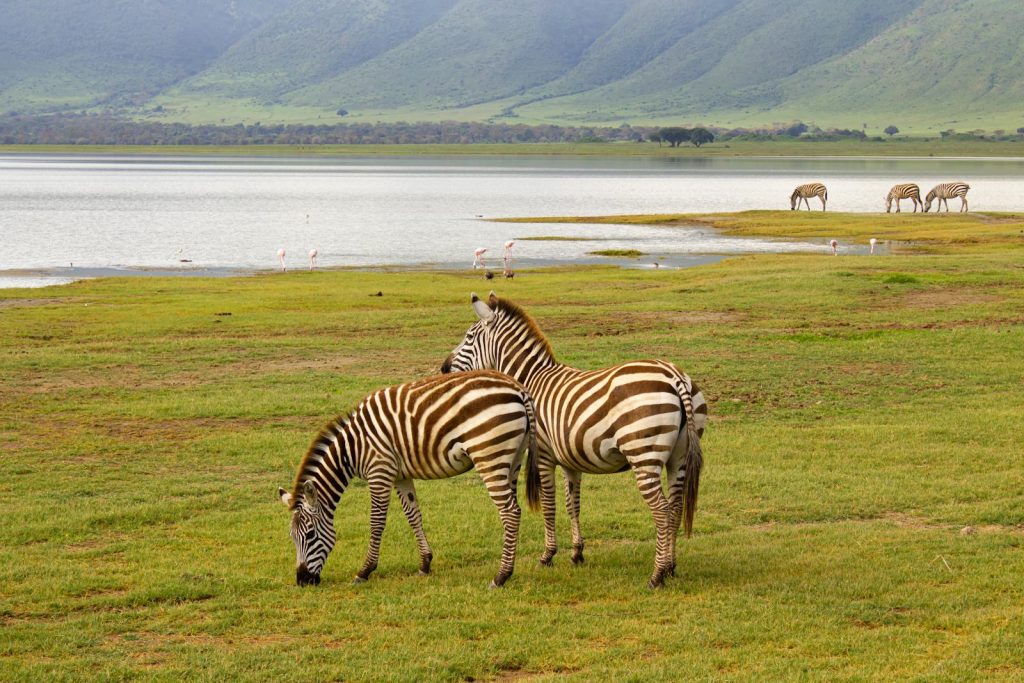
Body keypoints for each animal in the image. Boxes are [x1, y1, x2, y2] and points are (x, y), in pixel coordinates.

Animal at [277, 370, 539, 589]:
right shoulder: (400, 476)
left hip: (489, 456)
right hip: (513, 459)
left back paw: (501, 576)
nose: (303, 581)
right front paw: (425, 563)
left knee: (510, 512)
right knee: (514, 510)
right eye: (291, 537)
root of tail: (519, 389)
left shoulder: (379, 470)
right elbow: (413, 515)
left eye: (310, 535)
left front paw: (365, 571)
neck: (351, 448)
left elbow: (376, 522)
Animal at [441, 293, 707, 588]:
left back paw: (657, 575)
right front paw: (577, 553)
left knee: (661, 509)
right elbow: (573, 505)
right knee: (675, 507)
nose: (443, 368)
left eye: (468, 336)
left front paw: (547, 556)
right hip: (678, 457)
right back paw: (671, 567)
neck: (531, 380)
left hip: (644, 455)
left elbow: (549, 504)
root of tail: (675, 376)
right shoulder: (571, 460)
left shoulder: (544, 456)